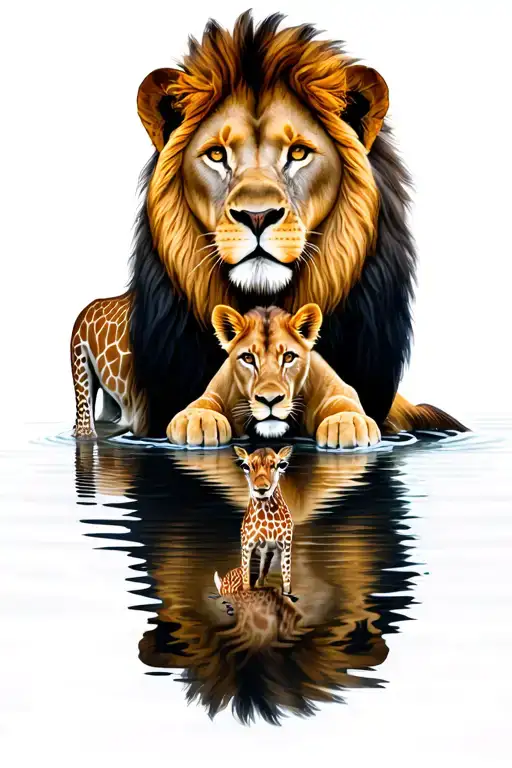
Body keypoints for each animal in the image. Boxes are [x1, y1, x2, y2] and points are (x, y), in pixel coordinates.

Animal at [168, 302, 382, 449]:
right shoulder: (217, 389)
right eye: (248, 358)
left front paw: (347, 422)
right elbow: (203, 402)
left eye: (288, 357)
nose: (270, 400)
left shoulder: (334, 386)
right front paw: (198, 420)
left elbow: (342, 401)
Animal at [220, 445, 295, 597]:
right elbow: (246, 582)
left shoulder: (285, 544)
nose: (261, 488)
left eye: (279, 465)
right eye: (245, 466)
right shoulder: (247, 545)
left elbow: (286, 582)